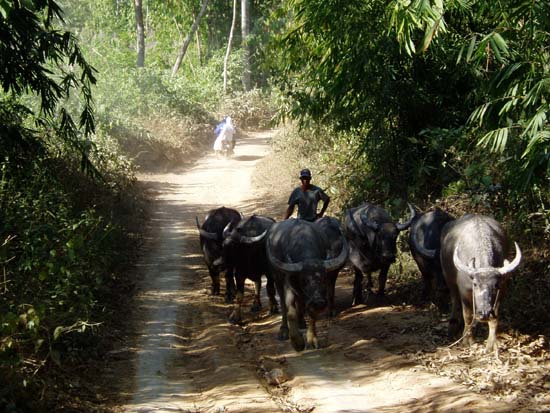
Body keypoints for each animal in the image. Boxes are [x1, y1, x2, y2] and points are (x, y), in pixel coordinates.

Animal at [268, 217, 350, 350]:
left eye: (323, 279)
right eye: (304, 280)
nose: (319, 302)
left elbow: (311, 313)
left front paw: (312, 339)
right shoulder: (289, 283)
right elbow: (290, 311)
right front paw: (297, 342)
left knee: (300, 302)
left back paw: (302, 323)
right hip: (277, 277)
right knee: (283, 303)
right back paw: (284, 330)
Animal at [442, 212, 524, 350]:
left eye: (496, 285)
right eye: (475, 284)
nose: (484, 313)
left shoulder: (502, 291)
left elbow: (495, 316)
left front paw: (491, 344)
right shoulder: (464, 290)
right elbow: (468, 315)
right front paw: (467, 340)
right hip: (448, 278)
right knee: (454, 299)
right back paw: (452, 325)